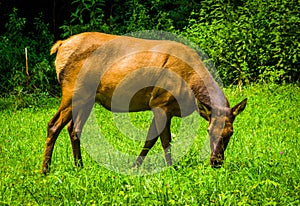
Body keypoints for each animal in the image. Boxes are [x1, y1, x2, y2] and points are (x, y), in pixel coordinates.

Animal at [42, 31, 248, 174]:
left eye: (230, 133)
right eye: (209, 131)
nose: (216, 162)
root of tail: (60, 46)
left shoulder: (164, 107)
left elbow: (151, 139)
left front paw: (134, 167)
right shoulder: (160, 102)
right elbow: (164, 140)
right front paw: (171, 168)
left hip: (87, 98)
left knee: (73, 128)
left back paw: (79, 166)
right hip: (72, 91)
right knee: (54, 124)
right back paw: (45, 170)